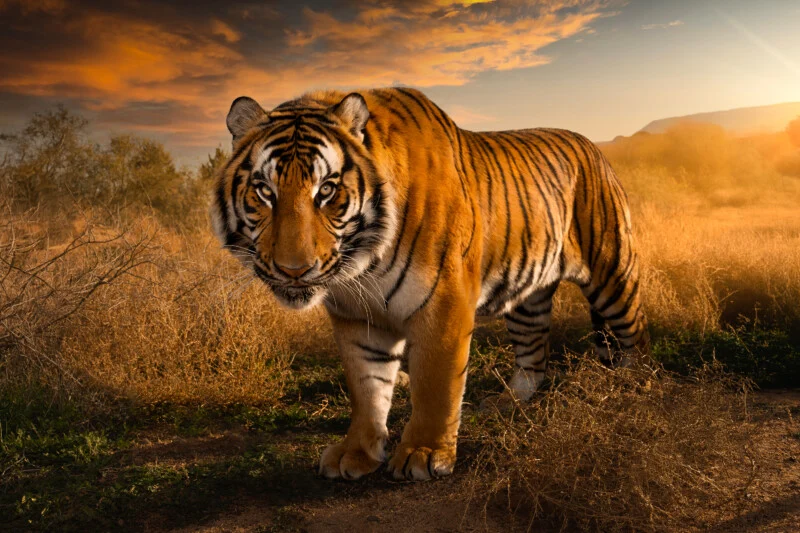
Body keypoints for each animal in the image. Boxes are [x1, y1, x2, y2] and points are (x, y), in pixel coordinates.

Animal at [211, 87, 649, 481]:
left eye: (327, 191)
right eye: (265, 191)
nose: (294, 270)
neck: (361, 269)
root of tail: (590, 143)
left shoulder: (443, 302)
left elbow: (435, 382)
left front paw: (423, 454)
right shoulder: (357, 317)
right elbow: (366, 388)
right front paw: (357, 453)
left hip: (612, 272)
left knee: (633, 332)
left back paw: (636, 386)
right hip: (528, 297)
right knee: (532, 353)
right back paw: (509, 402)